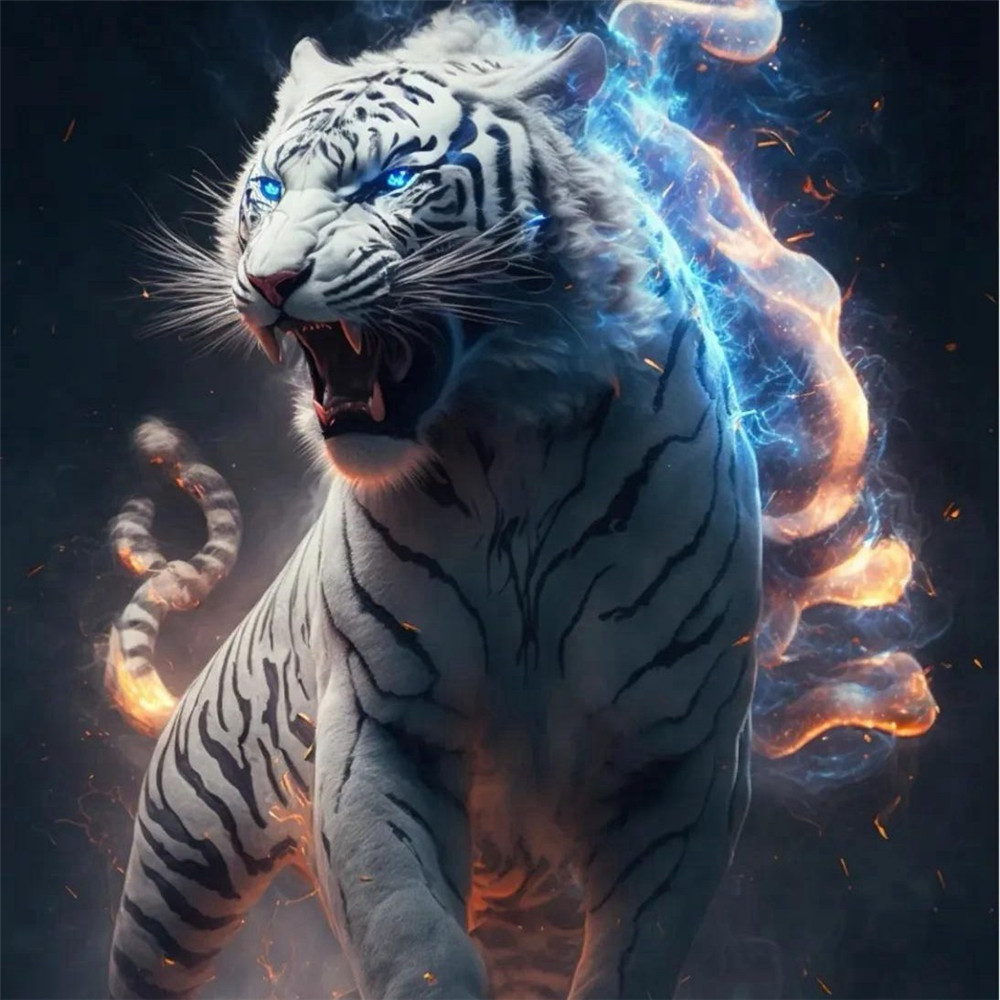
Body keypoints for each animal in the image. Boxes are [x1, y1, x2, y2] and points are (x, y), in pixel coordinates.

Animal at [107, 8, 762, 1000]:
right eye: (267, 187)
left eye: (390, 181)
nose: (267, 280)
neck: (513, 448)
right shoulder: (382, 717)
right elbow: (408, 929)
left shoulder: (679, 760)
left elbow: (635, 948)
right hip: (175, 870)